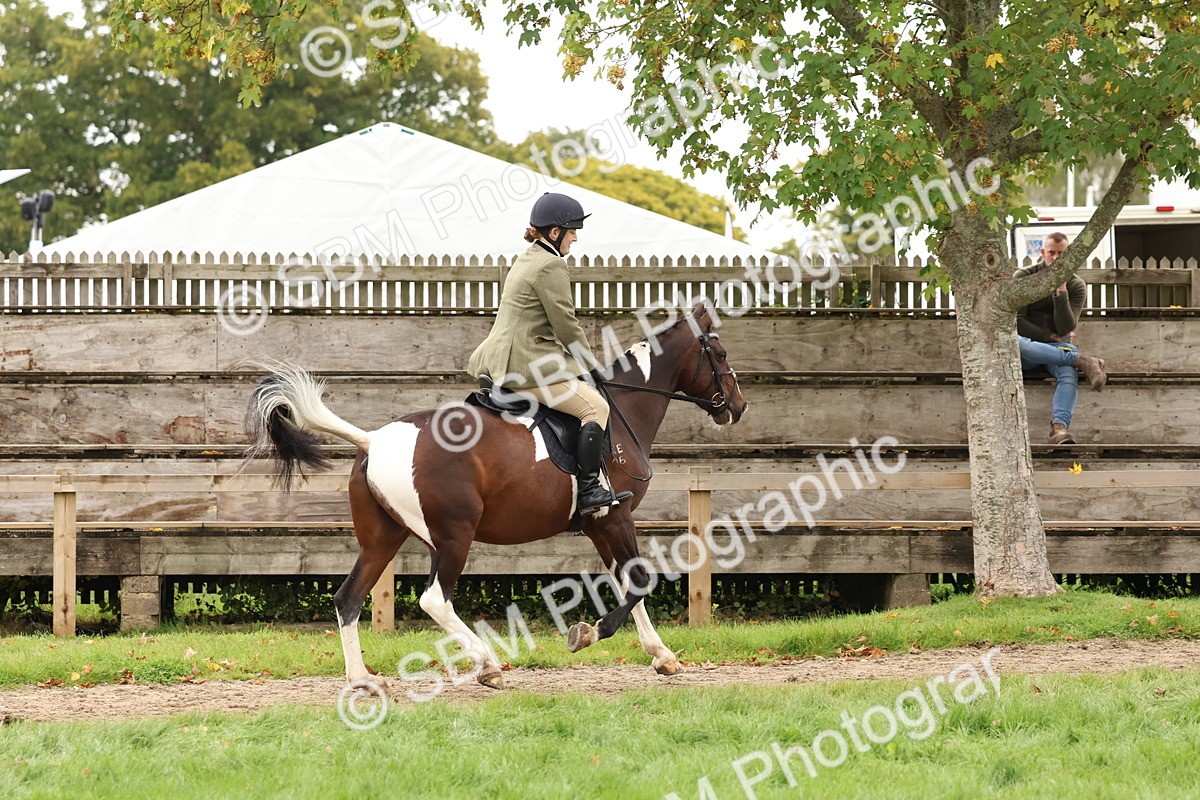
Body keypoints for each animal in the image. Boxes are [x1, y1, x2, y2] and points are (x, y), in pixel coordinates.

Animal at [243, 304, 748, 690]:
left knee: (348, 598)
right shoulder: (615, 516)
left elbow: (628, 583)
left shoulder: (600, 523)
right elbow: (640, 580)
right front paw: (587, 633)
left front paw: (661, 655)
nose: (739, 407)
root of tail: (374, 441)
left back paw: (361, 679)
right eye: (720, 353)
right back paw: (488, 666)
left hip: (382, 540)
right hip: (453, 536)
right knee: (435, 600)